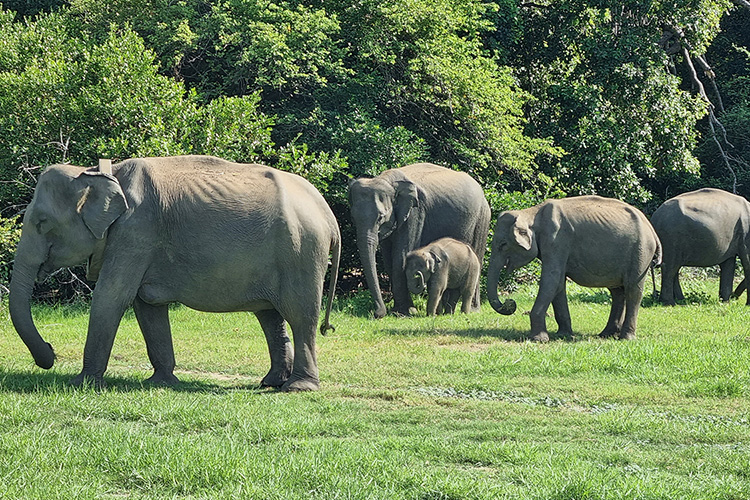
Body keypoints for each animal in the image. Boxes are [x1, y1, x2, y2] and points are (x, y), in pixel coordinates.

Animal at [8, 155, 340, 390]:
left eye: (42, 222)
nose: (50, 353)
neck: (98, 171)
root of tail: (327, 213)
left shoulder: (135, 232)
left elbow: (111, 297)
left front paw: (82, 384)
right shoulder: (137, 242)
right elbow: (147, 307)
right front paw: (161, 383)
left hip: (301, 252)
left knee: (300, 315)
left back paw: (297, 388)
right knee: (270, 317)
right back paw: (271, 383)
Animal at [350, 164, 490, 320]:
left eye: (381, 217)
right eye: (353, 217)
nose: (377, 314)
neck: (386, 179)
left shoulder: (415, 213)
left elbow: (400, 256)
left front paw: (405, 312)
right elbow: (388, 260)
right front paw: (401, 311)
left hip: (482, 218)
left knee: (478, 256)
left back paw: (472, 310)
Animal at [490, 197, 660, 342]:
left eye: (503, 244)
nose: (510, 302)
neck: (531, 212)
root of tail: (652, 229)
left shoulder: (556, 240)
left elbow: (551, 279)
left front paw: (538, 339)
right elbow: (558, 283)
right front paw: (564, 335)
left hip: (641, 252)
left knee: (633, 290)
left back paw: (625, 338)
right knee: (618, 292)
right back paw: (606, 334)